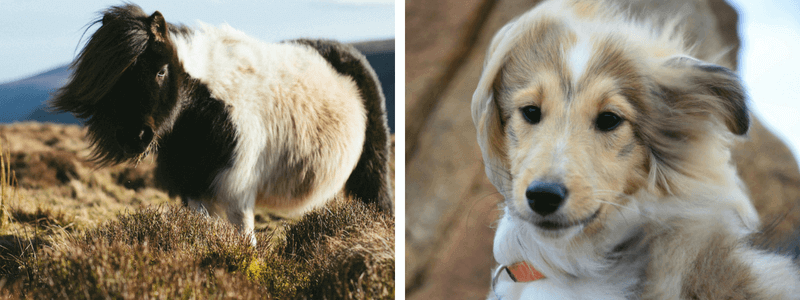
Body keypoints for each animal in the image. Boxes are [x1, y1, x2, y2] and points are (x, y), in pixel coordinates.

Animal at [51, 4, 396, 244]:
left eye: (161, 71)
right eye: (115, 80)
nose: (134, 137)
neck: (206, 103)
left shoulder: (236, 189)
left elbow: (244, 241)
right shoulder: (193, 187)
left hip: (372, 167)